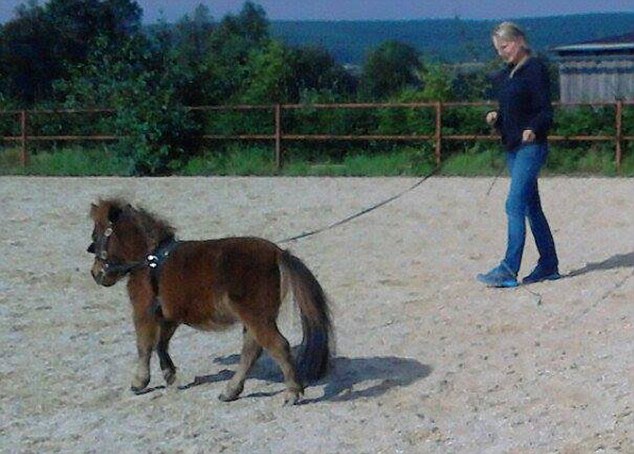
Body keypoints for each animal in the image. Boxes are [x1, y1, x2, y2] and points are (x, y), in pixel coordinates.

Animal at [89, 199, 336, 404]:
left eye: (96, 237)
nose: (95, 273)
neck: (150, 259)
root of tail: (277, 252)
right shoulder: (170, 316)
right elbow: (161, 344)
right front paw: (169, 375)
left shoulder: (143, 312)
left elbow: (144, 346)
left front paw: (139, 381)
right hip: (254, 319)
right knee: (252, 351)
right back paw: (231, 391)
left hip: (256, 317)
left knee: (278, 346)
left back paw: (292, 392)